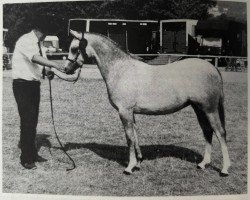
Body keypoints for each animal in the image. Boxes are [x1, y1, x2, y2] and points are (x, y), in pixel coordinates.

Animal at [64, 30, 230, 177]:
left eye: (74, 48)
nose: (66, 69)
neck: (121, 70)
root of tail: (213, 68)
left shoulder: (124, 111)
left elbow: (129, 138)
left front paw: (129, 167)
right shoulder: (131, 113)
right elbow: (135, 136)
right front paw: (138, 163)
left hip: (209, 109)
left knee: (220, 132)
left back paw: (224, 169)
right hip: (199, 108)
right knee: (207, 132)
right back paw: (203, 164)